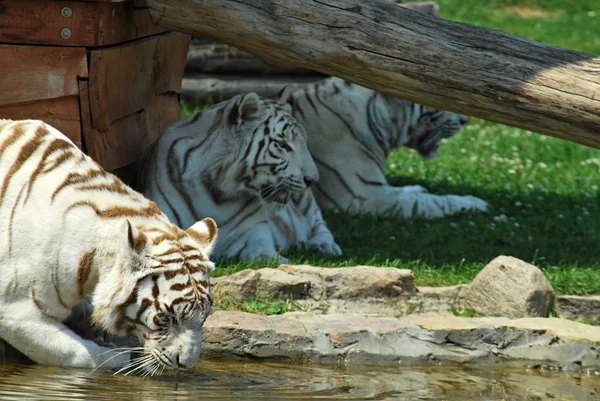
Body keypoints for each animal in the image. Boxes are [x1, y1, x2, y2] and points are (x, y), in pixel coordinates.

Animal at [0, 119, 218, 372]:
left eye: (204, 317)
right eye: (167, 318)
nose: (186, 364)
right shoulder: (16, 310)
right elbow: (79, 354)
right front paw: (119, 359)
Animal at [137, 92, 342, 260]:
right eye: (283, 145)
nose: (313, 179)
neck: (217, 193)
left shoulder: (254, 234)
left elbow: (264, 254)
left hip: (305, 200)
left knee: (318, 222)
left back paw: (325, 246)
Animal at [278, 76, 490, 217]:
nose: (465, 120)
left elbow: (409, 192)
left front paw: (416, 187)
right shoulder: (364, 196)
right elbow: (429, 203)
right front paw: (474, 203)